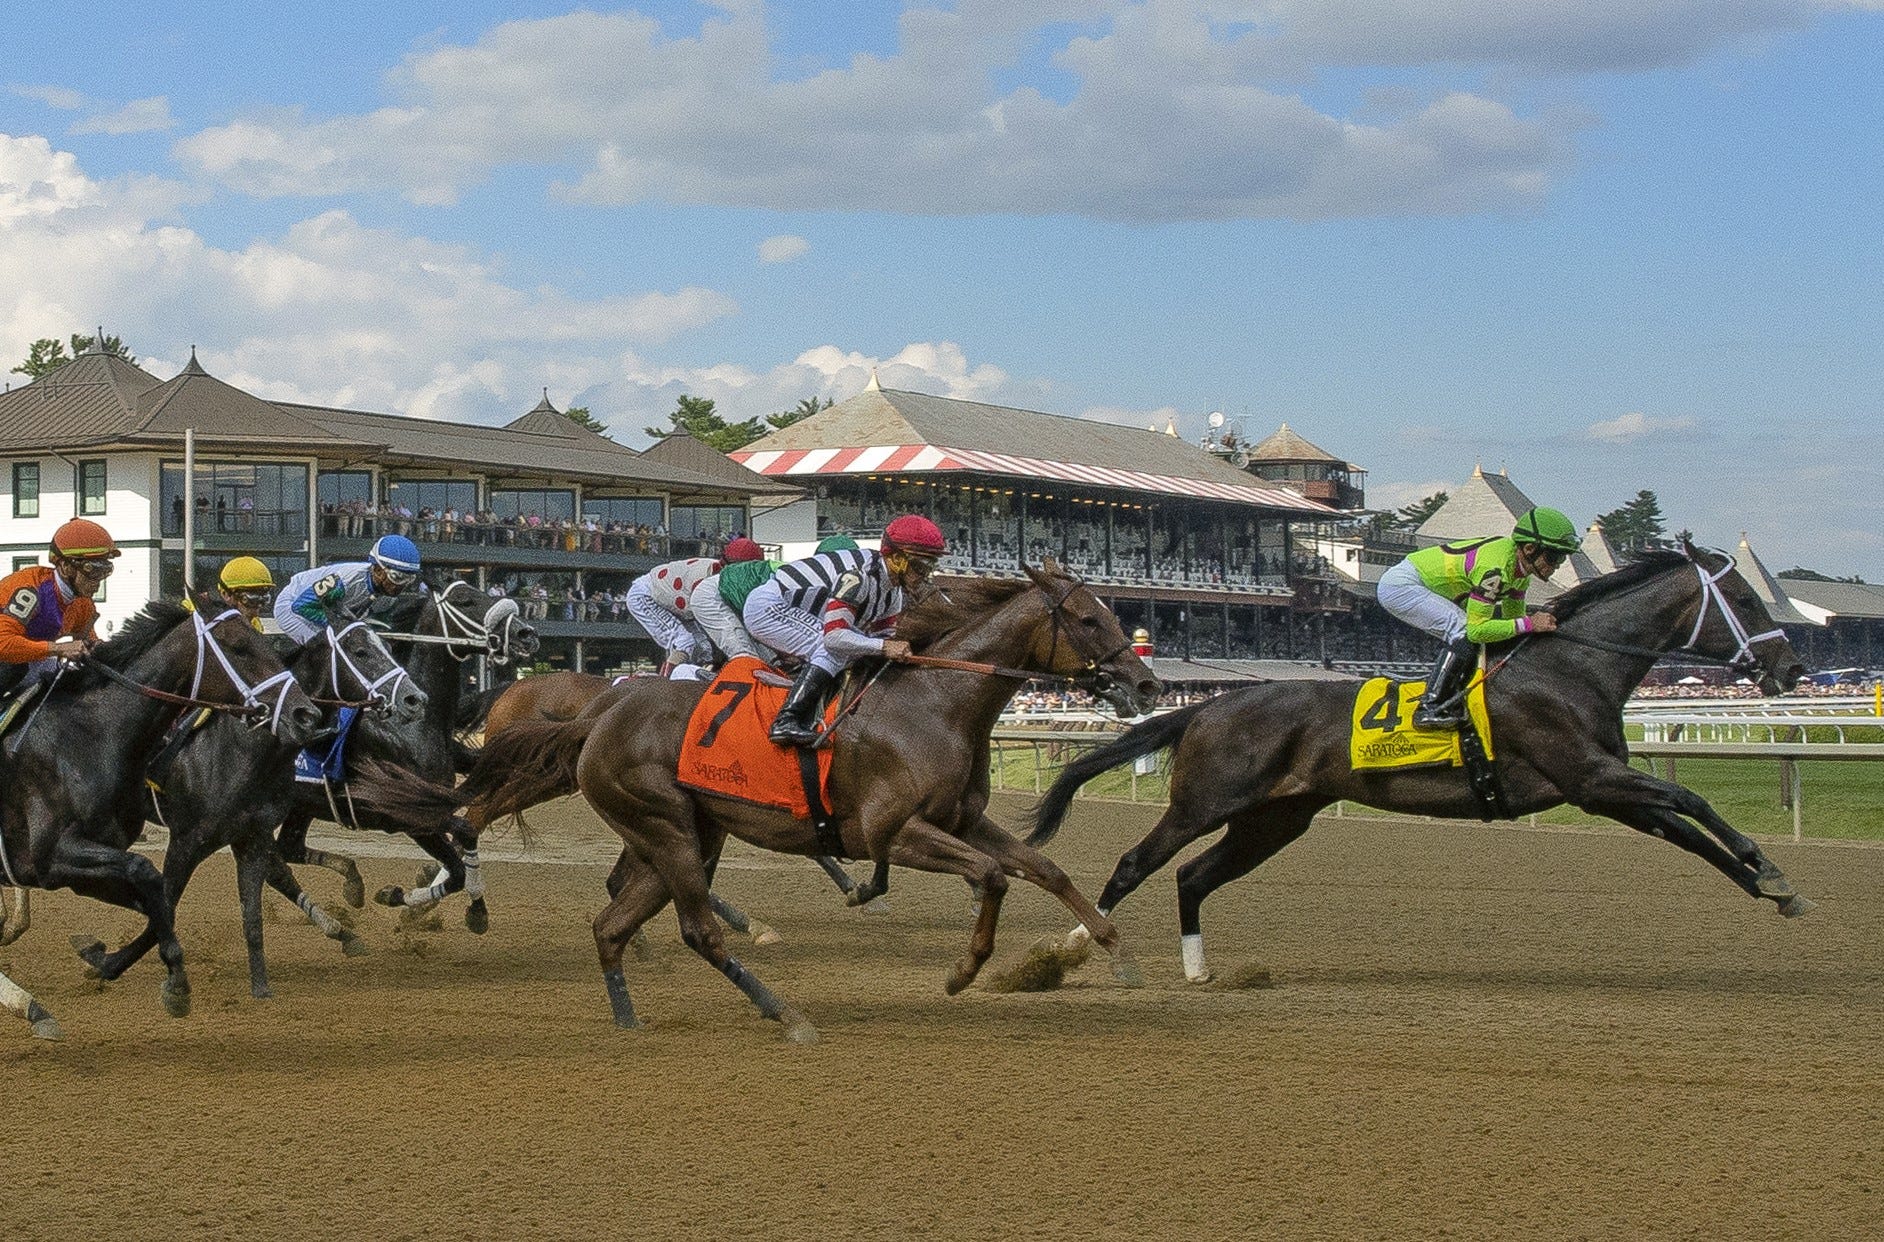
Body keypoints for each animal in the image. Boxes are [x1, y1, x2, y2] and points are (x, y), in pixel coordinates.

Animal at [0, 603, 320, 1040]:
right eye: (238, 646)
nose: (306, 714)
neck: (91, 736)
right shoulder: (52, 856)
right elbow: (149, 876)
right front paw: (175, 983)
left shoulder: (84, 869)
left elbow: (158, 902)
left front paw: (102, 956)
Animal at [71, 621, 429, 1002]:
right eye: (361, 652)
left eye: (387, 646)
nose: (415, 699)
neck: (243, 750)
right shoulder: (187, 841)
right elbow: (165, 906)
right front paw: (107, 961)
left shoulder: (250, 835)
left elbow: (255, 908)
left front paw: (262, 985)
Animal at [1032, 539, 1808, 987]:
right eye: (1743, 599)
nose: (1793, 669)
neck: (1568, 669)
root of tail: (1208, 706)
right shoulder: (1590, 777)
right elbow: (1695, 804)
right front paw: (1768, 867)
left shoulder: (1600, 792)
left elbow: (1685, 829)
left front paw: (1773, 888)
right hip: (1206, 802)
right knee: (1137, 862)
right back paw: (1076, 945)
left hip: (1275, 820)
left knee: (1193, 876)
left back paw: (1197, 971)